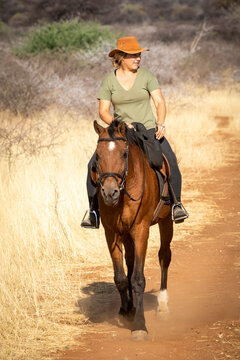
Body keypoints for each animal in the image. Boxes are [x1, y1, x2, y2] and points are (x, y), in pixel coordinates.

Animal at [92, 119, 172, 340]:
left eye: (123, 154)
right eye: (97, 155)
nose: (109, 193)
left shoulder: (140, 230)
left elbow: (137, 279)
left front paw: (139, 325)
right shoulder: (111, 232)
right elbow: (120, 277)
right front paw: (127, 311)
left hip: (165, 222)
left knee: (164, 256)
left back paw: (163, 307)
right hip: (125, 234)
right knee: (129, 262)